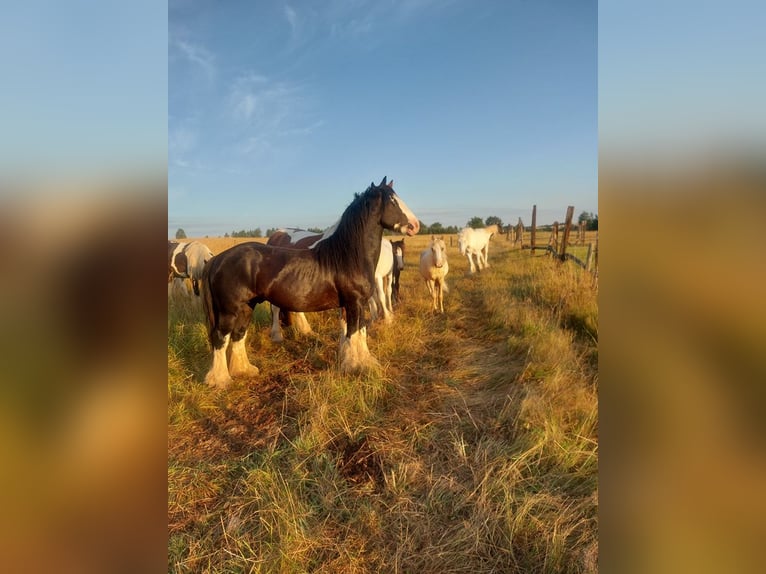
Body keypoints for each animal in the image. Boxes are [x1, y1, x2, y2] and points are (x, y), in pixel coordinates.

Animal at [201, 178, 420, 390]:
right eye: (392, 202)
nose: (415, 225)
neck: (348, 255)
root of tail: (218, 259)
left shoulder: (352, 304)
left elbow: (358, 331)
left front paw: (359, 362)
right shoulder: (355, 303)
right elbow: (355, 332)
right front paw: (354, 367)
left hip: (247, 306)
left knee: (239, 335)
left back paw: (244, 371)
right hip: (229, 310)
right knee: (221, 338)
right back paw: (221, 380)